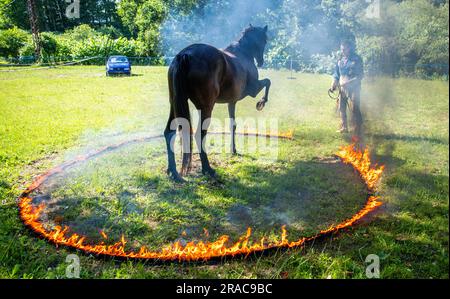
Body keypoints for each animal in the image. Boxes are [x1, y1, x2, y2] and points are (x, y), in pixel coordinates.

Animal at [165, 24, 270, 182]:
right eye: (264, 40)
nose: (261, 61)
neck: (243, 54)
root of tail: (185, 54)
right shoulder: (253, 89)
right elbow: (268, 82)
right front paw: (261, 102)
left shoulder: (232, 102)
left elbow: (233, 125)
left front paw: (233, 150)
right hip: (206, 108)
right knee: (199, 135)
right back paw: (207, 169)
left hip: (175, 104)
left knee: (169, 133)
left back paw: (173, 172)